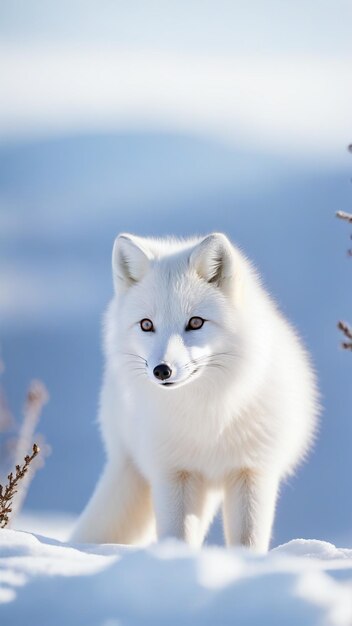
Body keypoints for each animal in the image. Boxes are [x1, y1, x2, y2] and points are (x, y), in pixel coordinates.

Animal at [72, 232, 320, 548]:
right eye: (146, 324)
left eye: (195, 322)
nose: (162, 370)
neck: (206, 414)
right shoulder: (174, 472)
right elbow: (177, 537)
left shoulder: (252, 470)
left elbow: (248, 541)